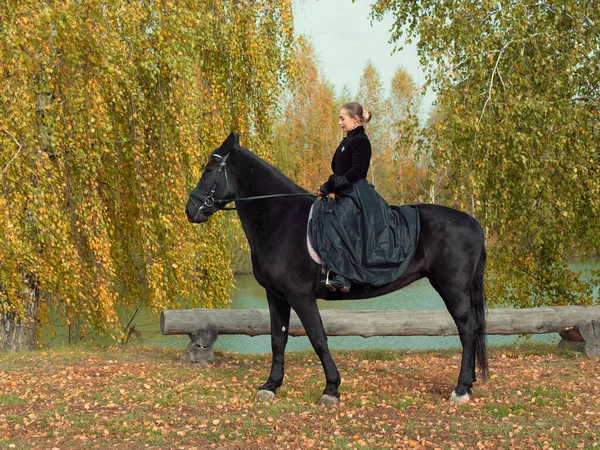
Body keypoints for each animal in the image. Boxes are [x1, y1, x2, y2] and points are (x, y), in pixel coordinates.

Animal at [186, 133, 488, 404]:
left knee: (467, 329)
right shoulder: (276, 296)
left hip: (452, 287)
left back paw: (461, 389)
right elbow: (277, 340)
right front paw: (270, 386)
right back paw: (469, 384)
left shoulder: (300, 296)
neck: (280, 218)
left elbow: (318, 338)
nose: (190, 209)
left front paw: (331, 389)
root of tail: (474, 223)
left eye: (209, 169)